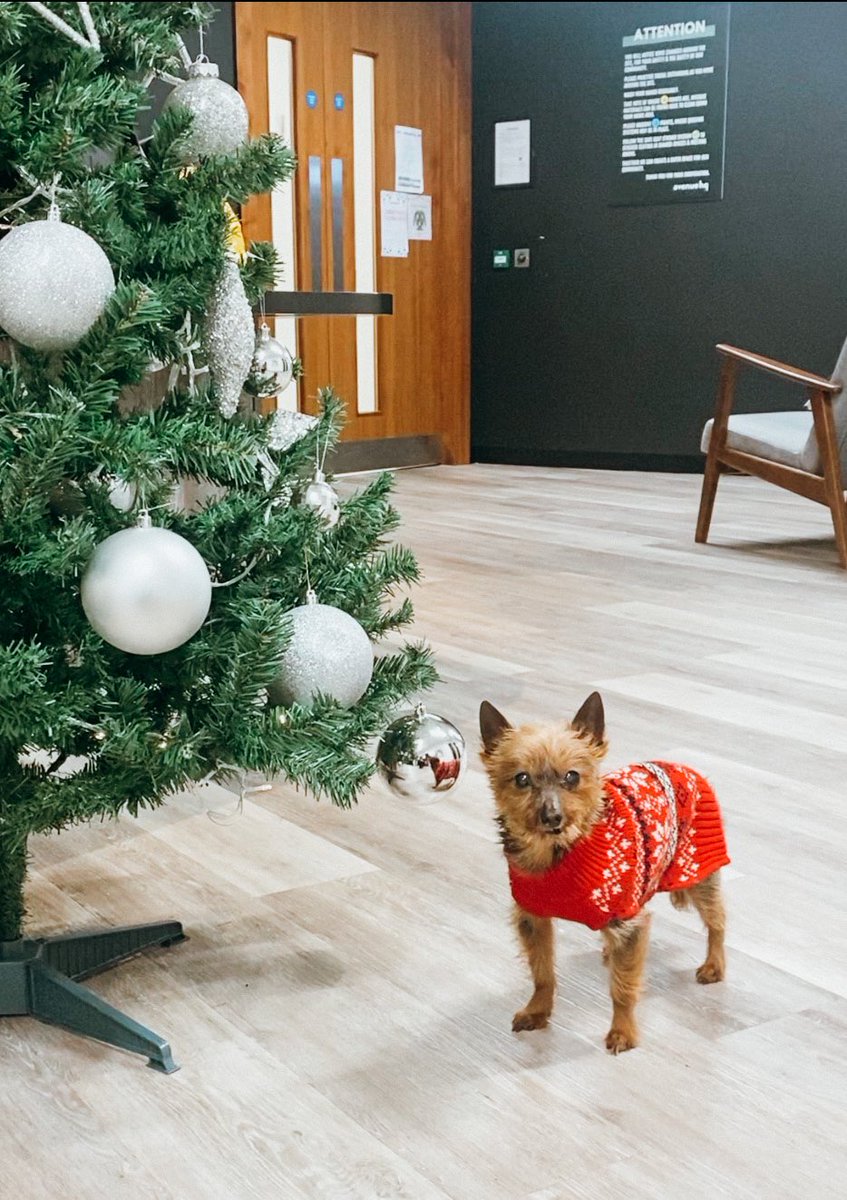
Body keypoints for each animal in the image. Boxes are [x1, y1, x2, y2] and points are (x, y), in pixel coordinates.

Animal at [477, 691, 729, 1056]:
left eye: (572, 777)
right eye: (522, 779)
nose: (551, 816)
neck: (559, 852)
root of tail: (683, 768)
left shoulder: (627, 920)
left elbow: (622, 989)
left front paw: (622, 1032)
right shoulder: (533, 918)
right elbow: (542, 972)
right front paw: (538, 1011)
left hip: (698, 873)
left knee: (717, 920)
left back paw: (714, 965)